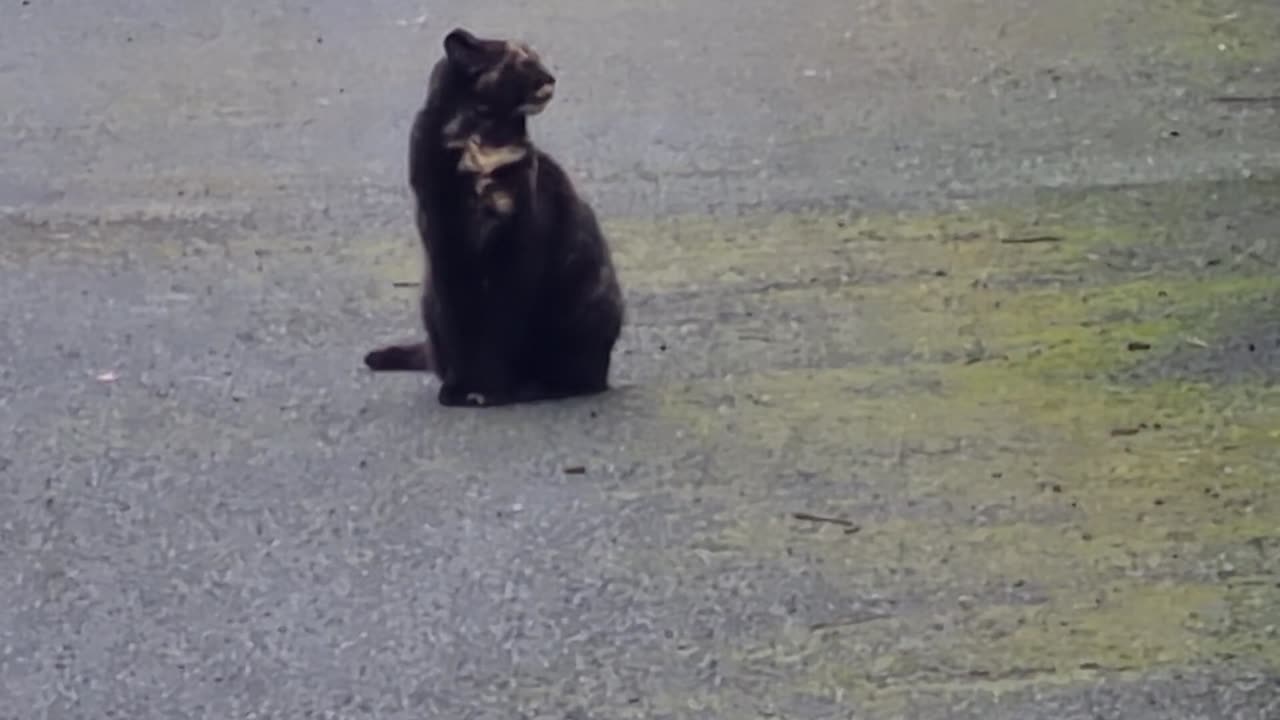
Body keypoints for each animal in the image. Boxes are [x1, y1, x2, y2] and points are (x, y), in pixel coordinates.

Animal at [360, 28, 624, 407]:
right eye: (523, 62)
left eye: (536, 58)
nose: (550, 77)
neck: (479, 138)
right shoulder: (445, 245)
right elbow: (460, 326)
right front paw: (459, 389)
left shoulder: (516, 249)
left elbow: (501, 326)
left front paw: (492, 389)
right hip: (430, 299)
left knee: (579, 376)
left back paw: (536, 387)